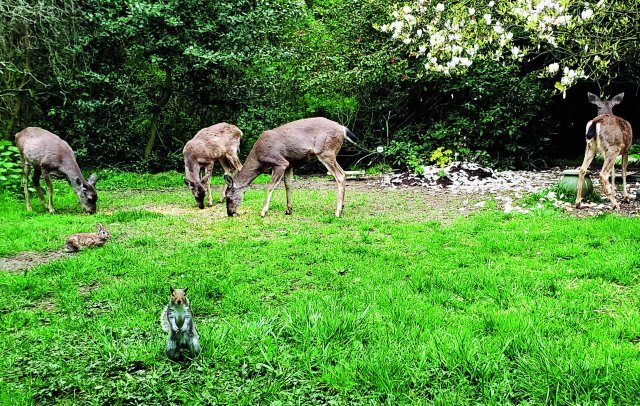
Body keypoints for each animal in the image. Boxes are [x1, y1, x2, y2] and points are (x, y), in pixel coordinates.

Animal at [224, 116, 356, 217]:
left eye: (228, 197)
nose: (230, 213)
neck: (258, 159)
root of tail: (342, 129)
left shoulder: (280, 162)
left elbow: (270, 185)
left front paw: (263, 211)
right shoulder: (289, 164)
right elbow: (288, 185)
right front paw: (288, 209)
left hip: (325, 151)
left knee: (340, 175)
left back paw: (337, 212)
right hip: (330, 153)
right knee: (344, 173)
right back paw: (342, 208)